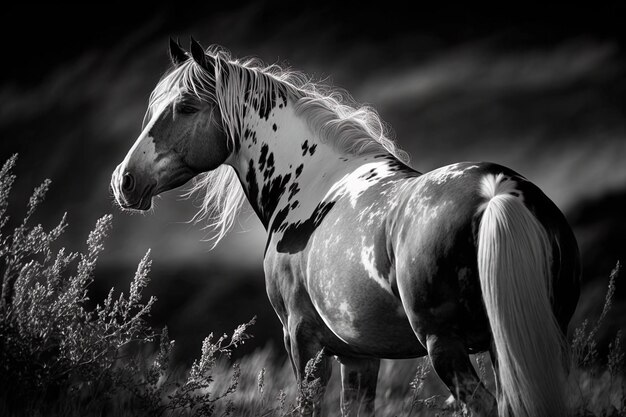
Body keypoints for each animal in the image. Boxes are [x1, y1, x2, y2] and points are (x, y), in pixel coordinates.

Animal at [111, 37, 580, 414]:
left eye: (185, 106)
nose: (123, 180)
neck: (313, 182)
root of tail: (497, 192)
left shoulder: (302, 340)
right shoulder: (359, 356)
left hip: (445, 346)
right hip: (527, 344)